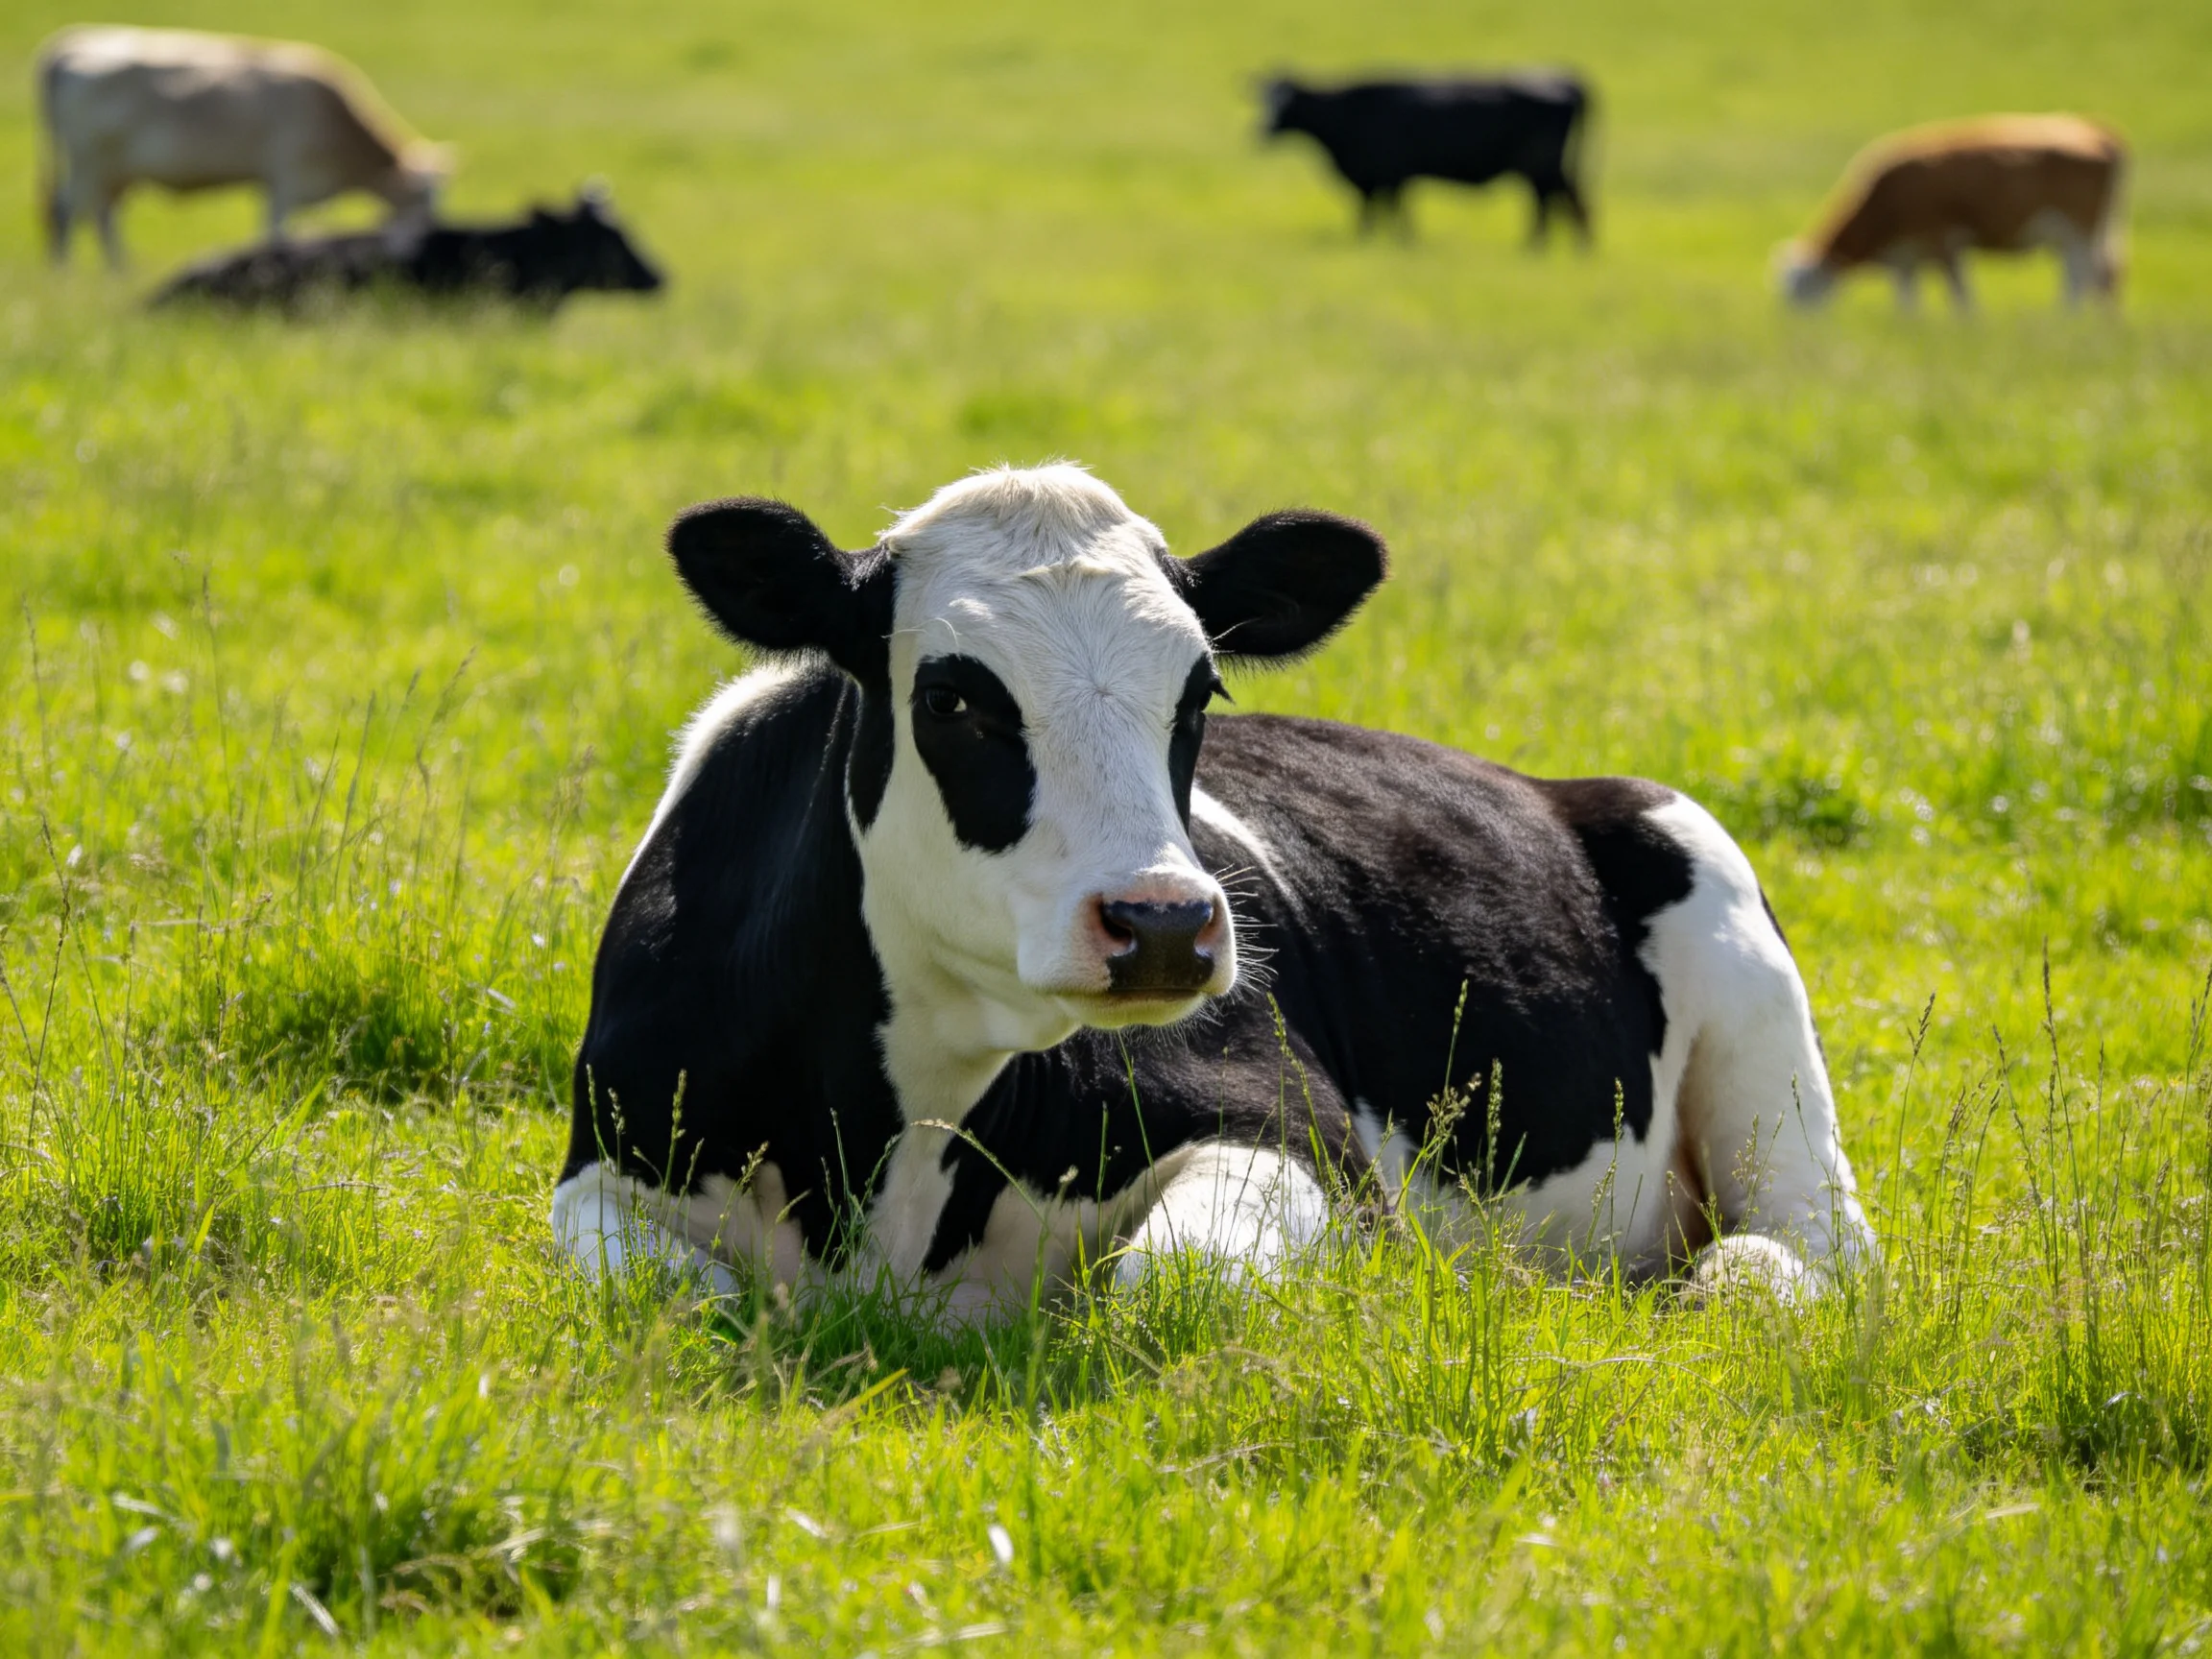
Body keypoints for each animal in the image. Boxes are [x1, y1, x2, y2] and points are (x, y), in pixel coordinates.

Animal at [36, 25, 449, 269]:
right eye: (425, 200)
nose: (429, 242)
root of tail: (68, 46)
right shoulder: (286, 181)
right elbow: (276, 234)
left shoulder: (276, 184)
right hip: (90, 160)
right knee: (66, 210)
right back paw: (66, 273)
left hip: (115, 171)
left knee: (101, 215)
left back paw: (120, 271)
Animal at [555, 465, 1875, 1326]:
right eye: (955, 698)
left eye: (1201, 694)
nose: (1163, 925)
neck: (883, 1154)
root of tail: (1562, 784)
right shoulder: (603, 1165)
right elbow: (679, 1294)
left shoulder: (1301, 1134)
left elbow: (1177, 1280)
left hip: (1753, 1009)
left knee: (1809, 1246)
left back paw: (1739, 1281)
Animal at [1260, 73, 1593, 244]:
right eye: (1263, 100)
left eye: (1285, 102)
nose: (1260, 130)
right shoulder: (1383, 177)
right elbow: (1378, 210)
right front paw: (1376, 239)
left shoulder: (1391, 174)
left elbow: (1388, 210)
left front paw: (1395, 240)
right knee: (1559, 201)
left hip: (1542, 165)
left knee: (1554, 202)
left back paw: (1542, 246)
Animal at [1777, 115, 2126, 312]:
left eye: (1799, 291)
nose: (1792, 331)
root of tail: (2102, 135)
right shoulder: (1904, 257)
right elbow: (1907, 304)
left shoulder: (1942, 240)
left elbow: (1960, 295)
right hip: (2090, 233)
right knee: (2103, 275)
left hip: (2079, 230)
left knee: (2081, 277)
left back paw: (2066, 319)